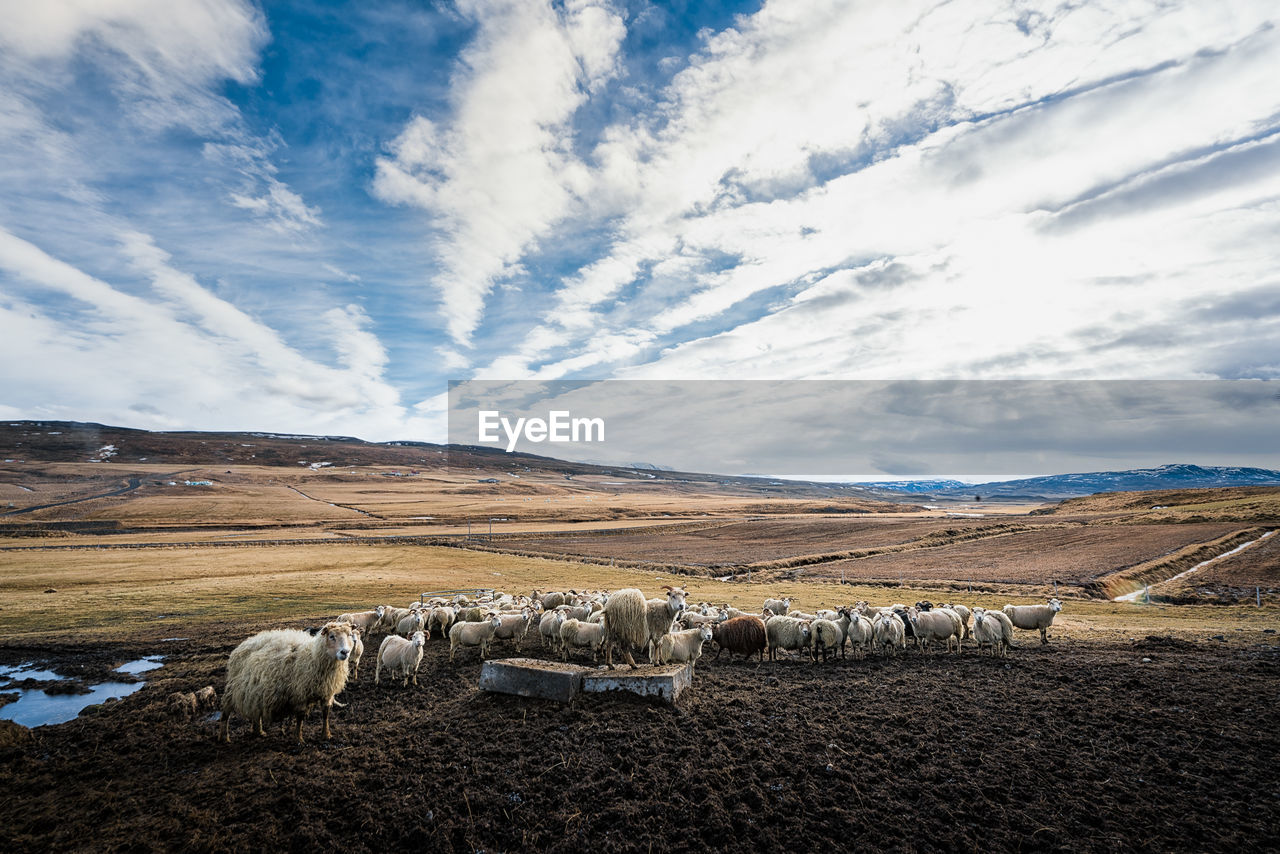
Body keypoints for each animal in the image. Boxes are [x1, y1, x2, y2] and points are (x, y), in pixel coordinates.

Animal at [218, 617, 350, 742]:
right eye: (332, 636)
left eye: (349, 635)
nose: (345, 652)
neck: (312, 656)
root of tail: (243, 645)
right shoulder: (300, 693)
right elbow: (300, 717)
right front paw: (298, 739)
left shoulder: (327, 692)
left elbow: (325, 714)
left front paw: (326, 735)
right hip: (234, 687)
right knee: (226, 709)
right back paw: (224, 736)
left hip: (256, 689)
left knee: (256, 709)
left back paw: (259, 731)